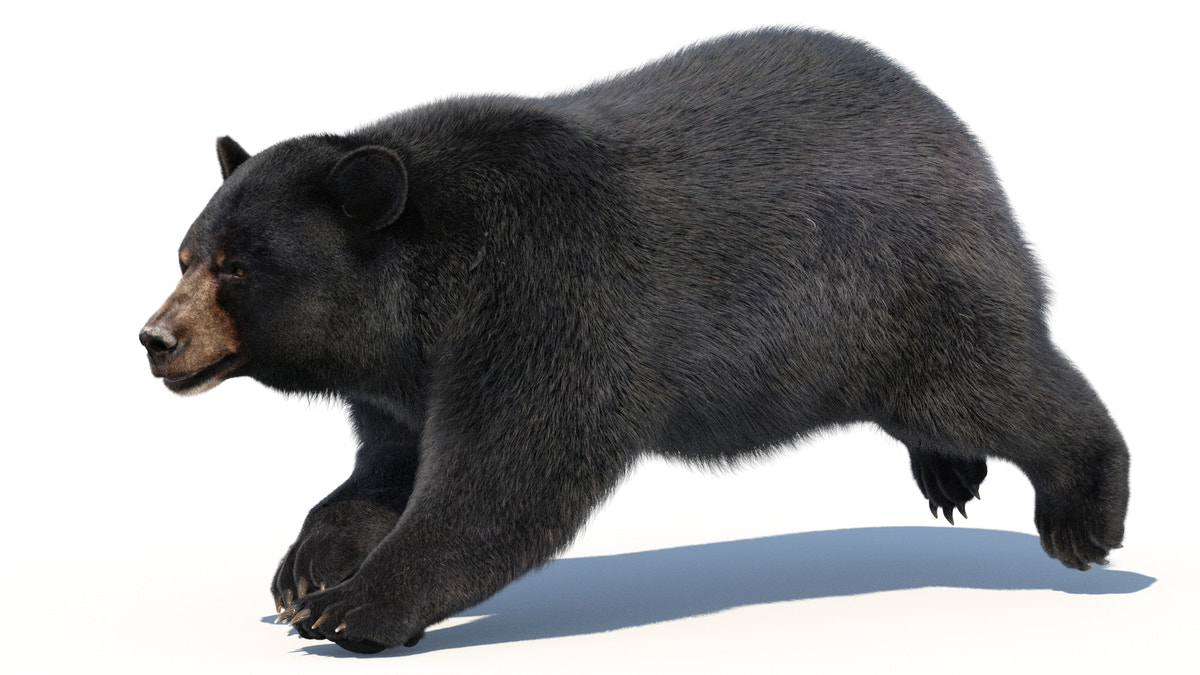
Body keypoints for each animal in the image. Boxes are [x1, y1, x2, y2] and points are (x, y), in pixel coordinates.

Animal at [139, 27, 1129, 654]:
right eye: (185, 253)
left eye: (236, 266)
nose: (155, 338)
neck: (428, 285)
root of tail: (957, 134)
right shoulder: (406, 376)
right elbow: (388, 467)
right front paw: (305, 568)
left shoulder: (544, 294)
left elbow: (508, 472)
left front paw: (355, 607)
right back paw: (950, 472)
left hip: (895, 292)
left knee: (996, 380)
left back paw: (1084, 511)